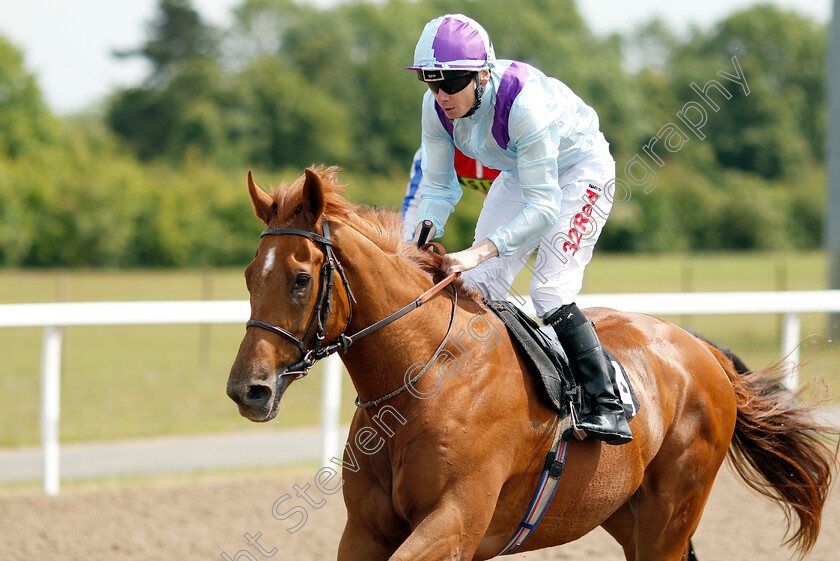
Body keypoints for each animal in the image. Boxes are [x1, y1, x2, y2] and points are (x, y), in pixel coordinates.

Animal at [226, 166, 836, 560]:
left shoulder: (455, 522)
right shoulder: (367, 530)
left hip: (671, 513)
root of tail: (701, 350)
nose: (247, 389)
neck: (421, 380)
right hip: (624, 512)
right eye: (250, 275)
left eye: (300, 278)